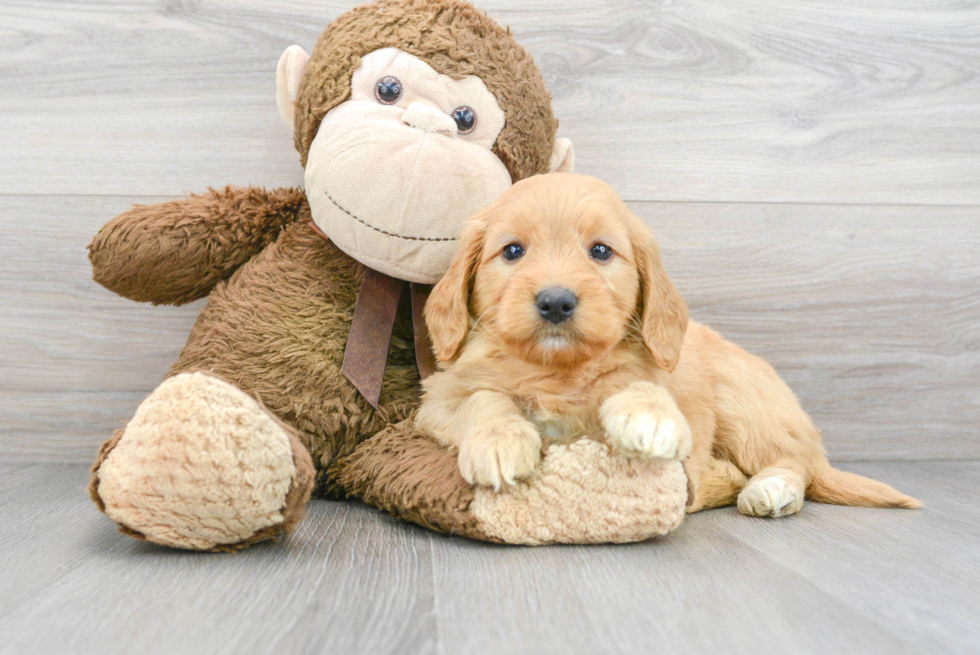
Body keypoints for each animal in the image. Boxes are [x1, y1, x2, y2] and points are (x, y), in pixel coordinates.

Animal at [418, 174, 924, 516]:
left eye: (600, 251)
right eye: (512, 251)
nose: (556, 301)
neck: (558, 370)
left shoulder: (651, 378)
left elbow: (642, 385)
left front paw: (651, 416)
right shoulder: (437, 402)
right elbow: (482, 398)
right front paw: (499, 441)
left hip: (744, 404)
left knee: (793, 461)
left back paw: (770, 490)